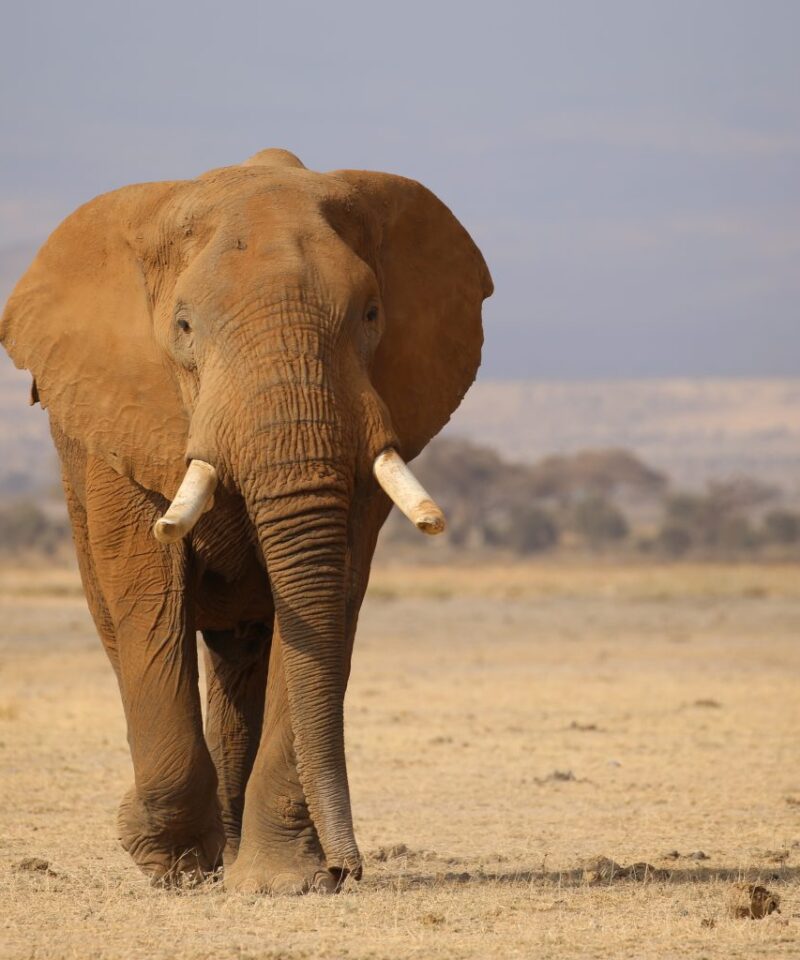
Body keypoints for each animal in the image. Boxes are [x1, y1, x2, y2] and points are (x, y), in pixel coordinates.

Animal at [0, 148, 492, 893]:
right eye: (183, 328)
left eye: (371, 314)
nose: (351, 867)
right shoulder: (123, 417)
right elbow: (150, 593)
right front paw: (170, 864)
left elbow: (327, 601)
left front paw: (282, 882)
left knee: (243, 654)